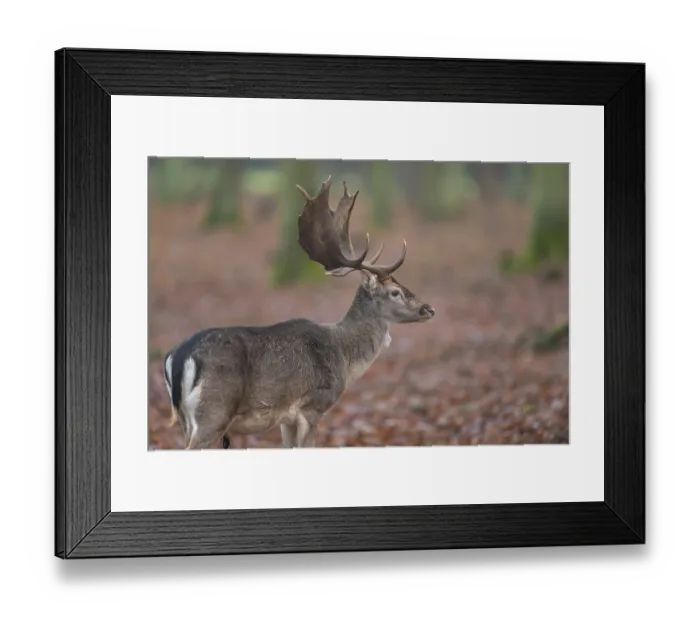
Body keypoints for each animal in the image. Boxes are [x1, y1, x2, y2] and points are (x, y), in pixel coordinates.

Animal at [162, 175, 435, 450]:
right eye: (395, 292)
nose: (429, 308)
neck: (344, 357)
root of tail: (179, 357)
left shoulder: (286, 419)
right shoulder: (313, 405)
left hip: (186, 419)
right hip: (214, 410)